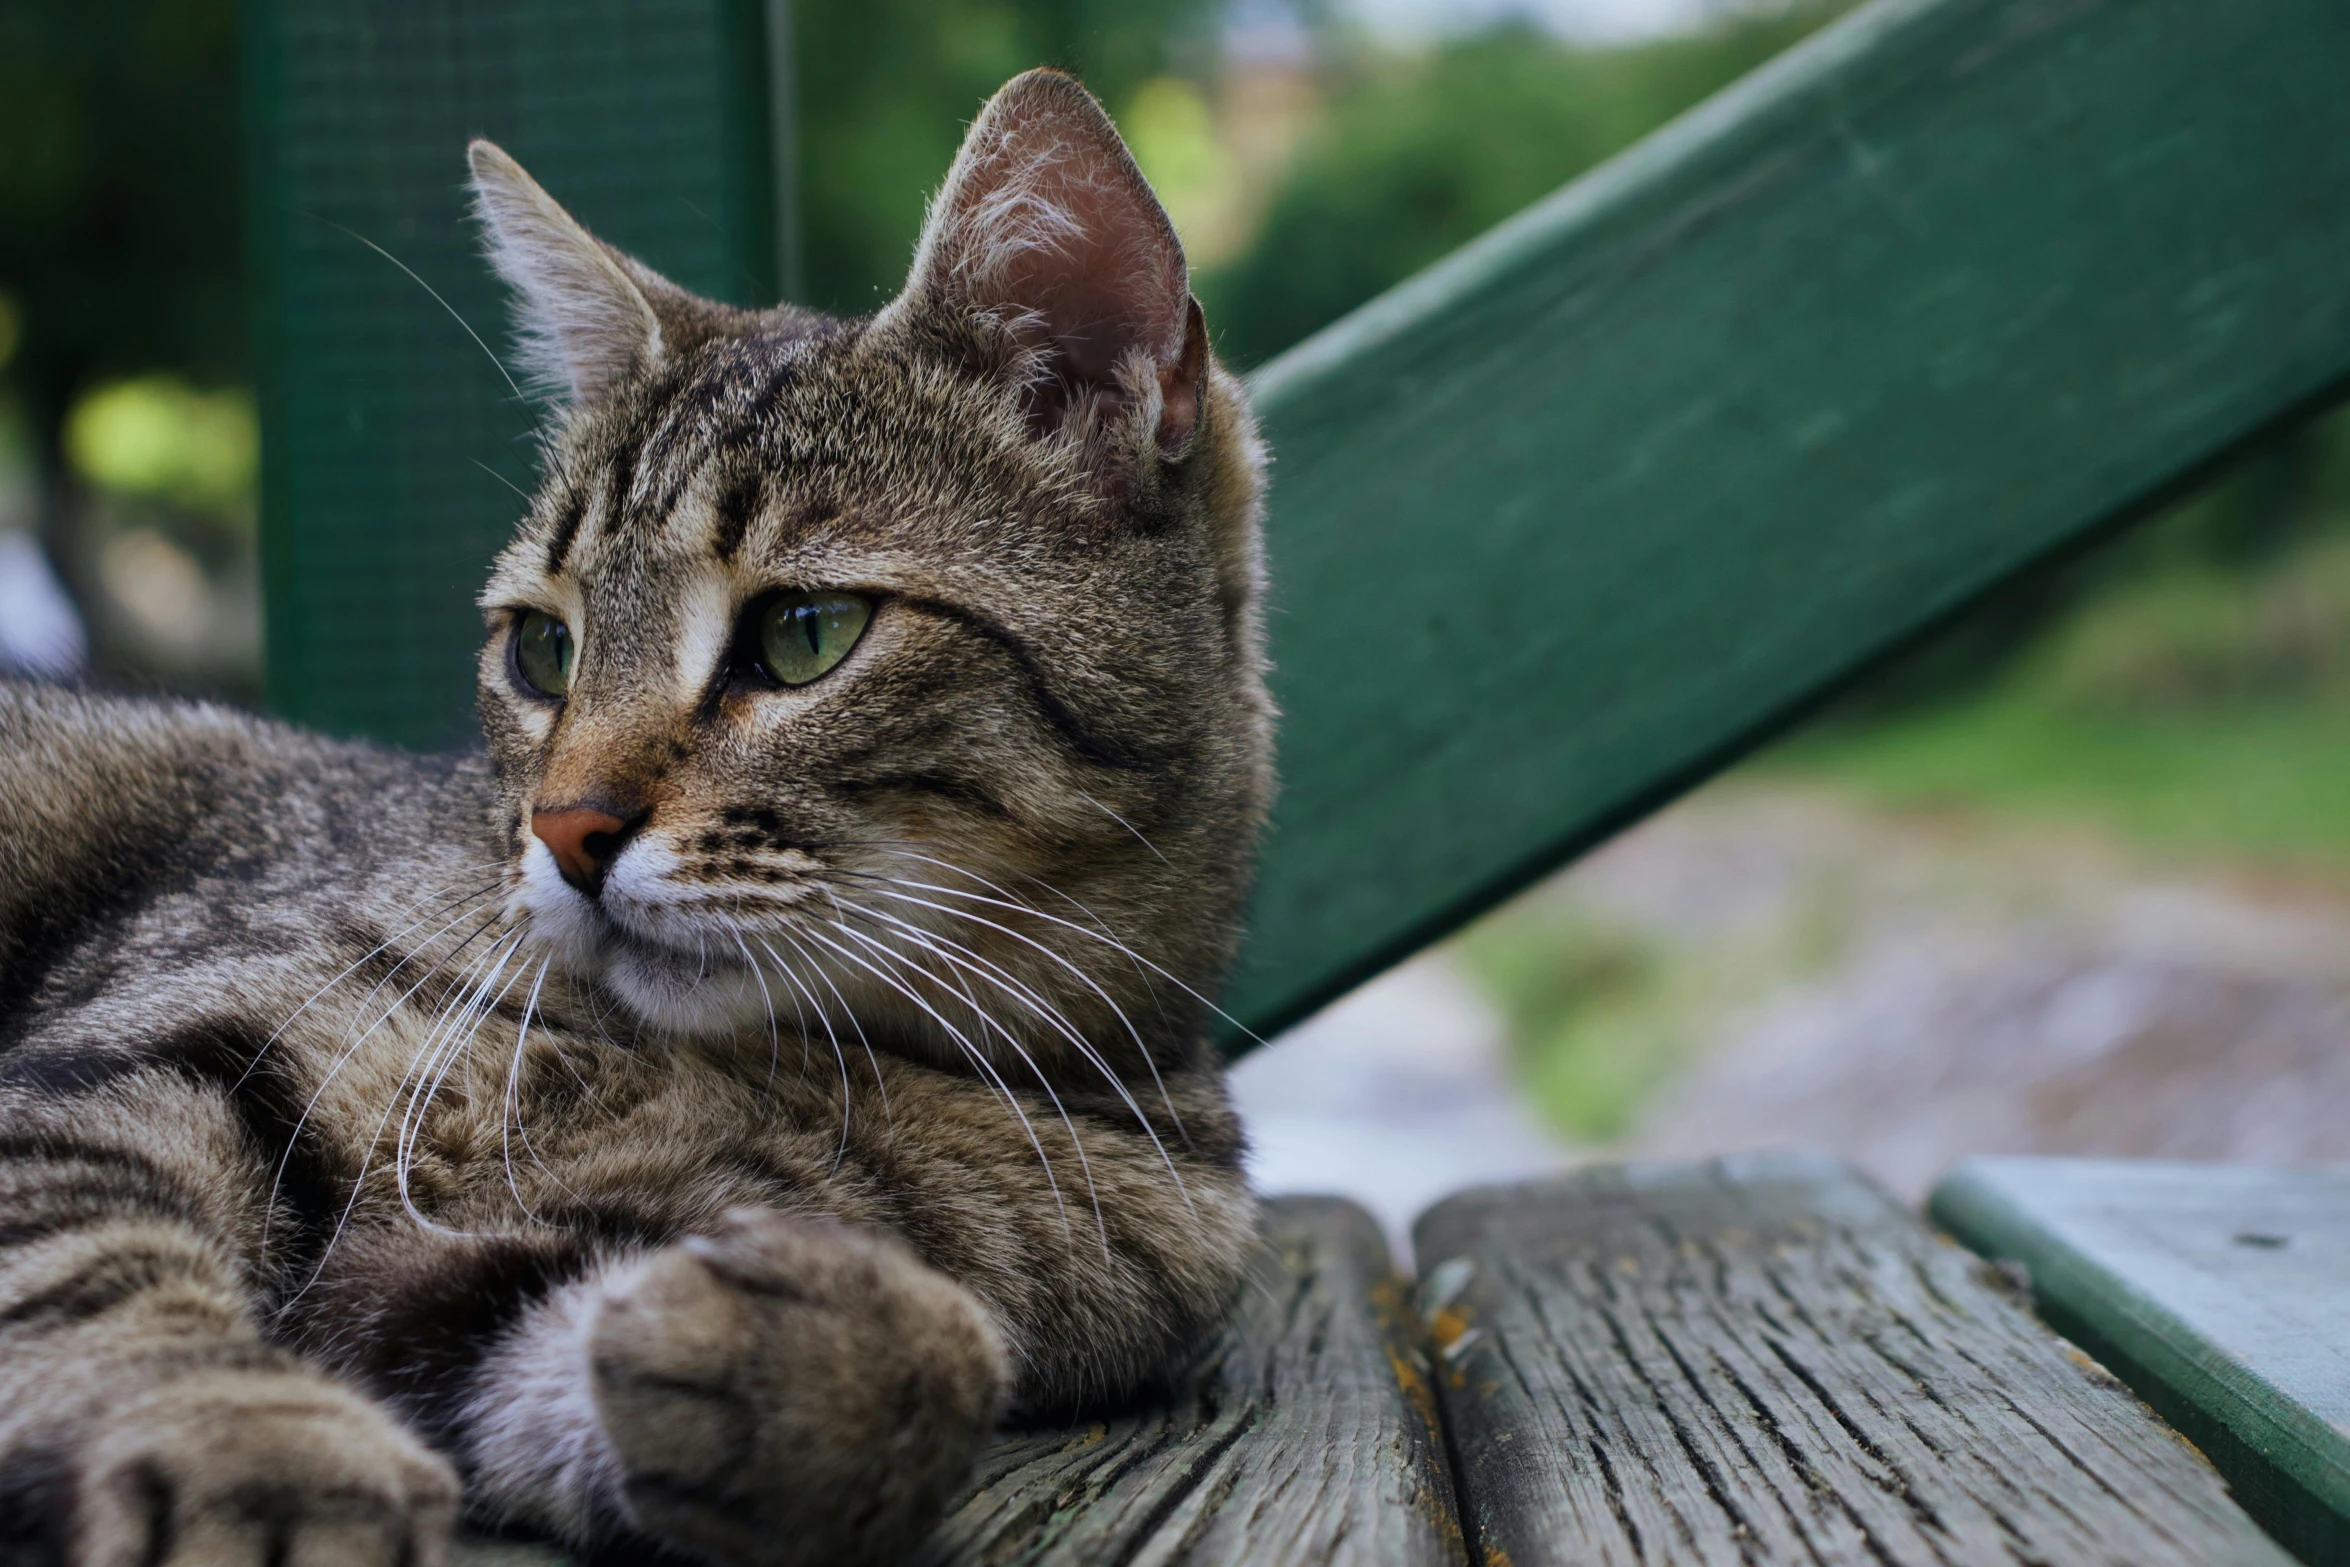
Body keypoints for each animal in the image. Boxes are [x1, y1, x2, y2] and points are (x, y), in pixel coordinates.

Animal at [0, 73, 1269, 1567]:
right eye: (541, 650)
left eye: (804, 632)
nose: (562, 830)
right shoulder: (151, 1044)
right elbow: (98, 1261)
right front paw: (251, 1446)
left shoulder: (428, 1268)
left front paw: (796, 1347)